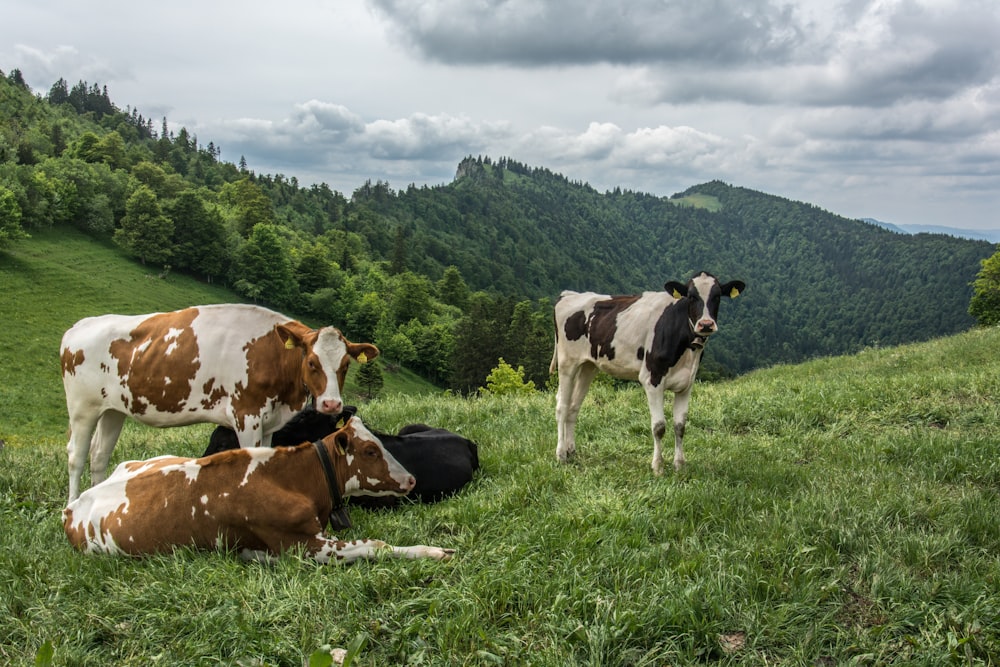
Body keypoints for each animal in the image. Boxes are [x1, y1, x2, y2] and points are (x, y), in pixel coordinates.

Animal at [59, 306, 378, 498]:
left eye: (345, 365)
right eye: (312, 362)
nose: (331, 405)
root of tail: (79, 326)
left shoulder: (269, 422)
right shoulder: (246, 415)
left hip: (113, 409)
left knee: (99, 456)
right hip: (82, 407)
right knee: (76, 456)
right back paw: (73, 506)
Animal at [62, 418, 454, 564]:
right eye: (371, 451)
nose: (411, 480)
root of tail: (72, 507)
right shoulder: (303, 544)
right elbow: (375, 546)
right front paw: (433, 551)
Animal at [552, 274, 748, 478]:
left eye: (717, 296)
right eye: (691, 296)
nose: (706, 324)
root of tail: (569, 295)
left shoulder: (687, 384)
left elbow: (680, 426)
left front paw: (679, 465)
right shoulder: (651, 379)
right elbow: (659, 426)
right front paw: (658, 467)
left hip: (588, 366)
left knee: (574, 407)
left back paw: (571, 451)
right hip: (567, 363)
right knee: (562, 406)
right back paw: (561, 455)